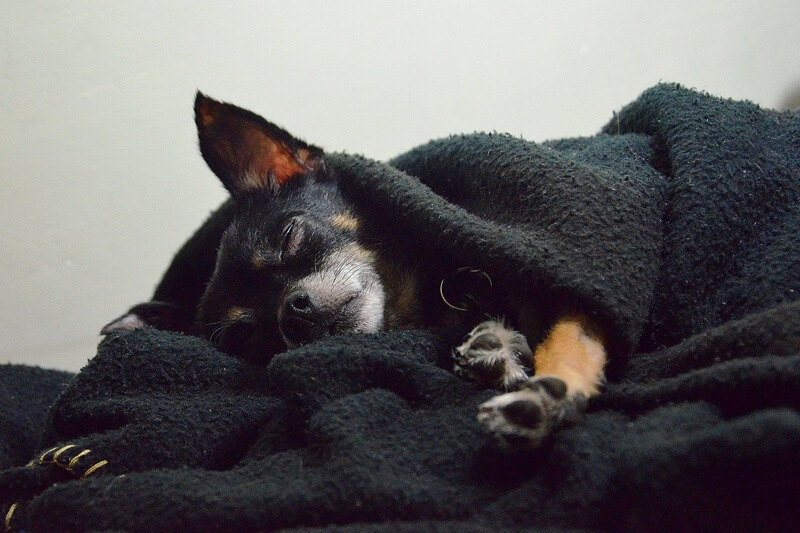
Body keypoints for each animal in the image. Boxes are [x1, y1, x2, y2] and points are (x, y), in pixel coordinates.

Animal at [104, 93, 608, 446]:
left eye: (289, 237)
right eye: (242, 335)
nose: (293, 313)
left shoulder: (571, 288)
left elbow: (569, 341)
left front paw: (544, 393)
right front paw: (501, 351)